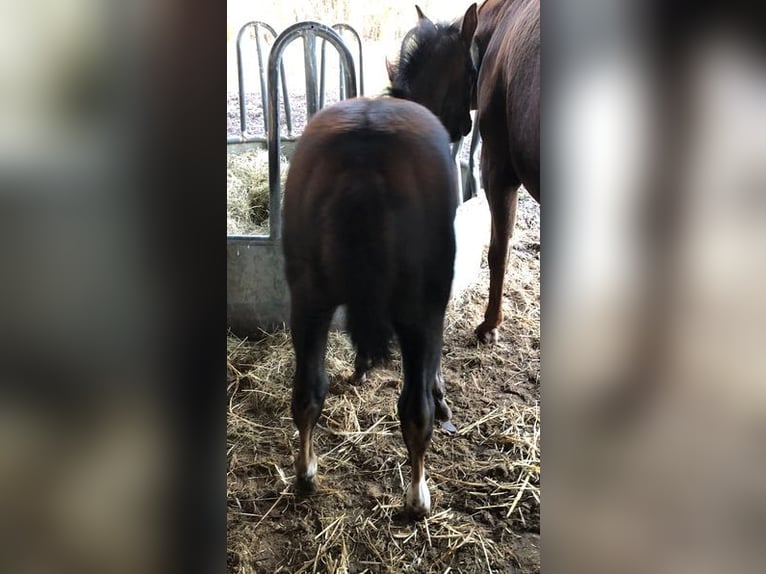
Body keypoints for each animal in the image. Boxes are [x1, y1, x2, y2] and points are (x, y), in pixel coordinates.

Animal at [282, 97, 459, 518]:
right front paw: (442, 395)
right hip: (418, 311)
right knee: (415, 410)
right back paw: (417, 497)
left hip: (308, 302)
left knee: (307, 393)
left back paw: (306, 471)